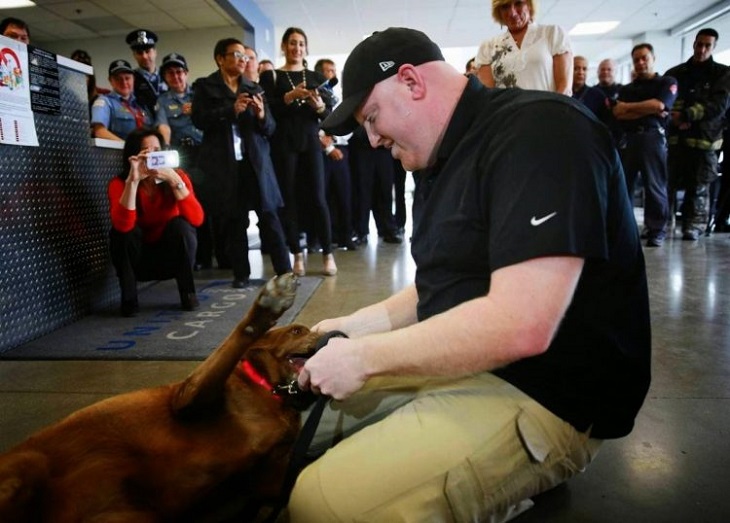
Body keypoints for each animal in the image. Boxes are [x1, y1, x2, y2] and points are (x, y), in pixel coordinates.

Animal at [0, 274, 324, 523]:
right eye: (297, 330)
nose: (327, 336)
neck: (268, 390)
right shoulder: (187, 398)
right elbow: (232, 343)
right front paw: (267, 305)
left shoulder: (271, 477)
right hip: (26, 466)